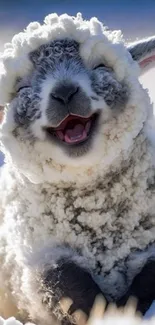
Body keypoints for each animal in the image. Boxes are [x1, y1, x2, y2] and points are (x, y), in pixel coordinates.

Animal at [0, 11, 155, 324]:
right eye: (22, 88)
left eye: (101, 66)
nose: (65, 92)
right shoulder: (39, 255)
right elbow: (65, 280)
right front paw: (105, 313)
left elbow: (149, 276)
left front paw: (128, 311)